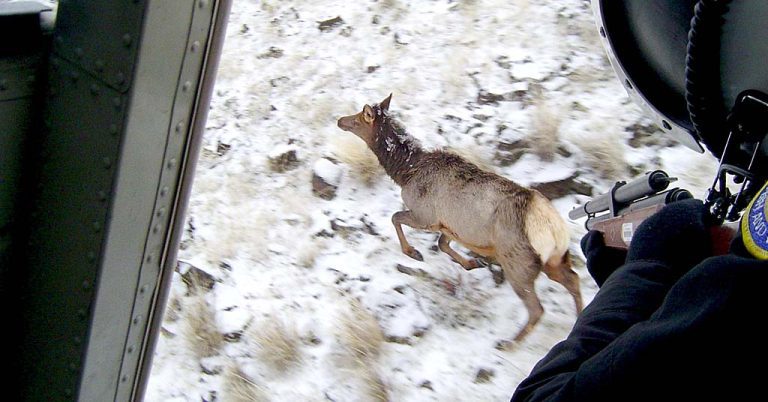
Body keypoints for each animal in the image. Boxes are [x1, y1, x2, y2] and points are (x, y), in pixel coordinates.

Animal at [337, 94, 583, 345]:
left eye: (359, 118)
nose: (340, 120)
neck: (405, 173)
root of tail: (553, 227)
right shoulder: (450, 226)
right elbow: (442, 244)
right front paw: (470, 263)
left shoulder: (425, 215)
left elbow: (396, 218)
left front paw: (413, 252)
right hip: (554, 259)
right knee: (573, 279)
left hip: (518, 263)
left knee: (537, 308)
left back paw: (509, 343)